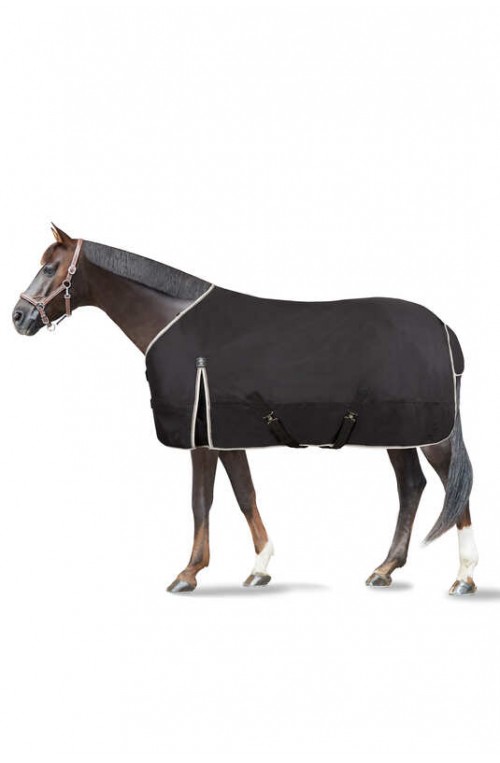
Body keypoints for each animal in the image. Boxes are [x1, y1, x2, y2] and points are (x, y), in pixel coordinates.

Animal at [12, 224, 478, 595]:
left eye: (51, 267)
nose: (18, 317)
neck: (177, 322)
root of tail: (445, 329)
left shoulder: (203, 435)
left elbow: (208, 499)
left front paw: (194, 572)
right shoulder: (219, 433)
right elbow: (236, 494)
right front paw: (251, 567)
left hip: (429, 434)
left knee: (453, 486)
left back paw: (465, 577)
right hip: (400, 432)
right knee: (412, 487)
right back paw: (385, 569)